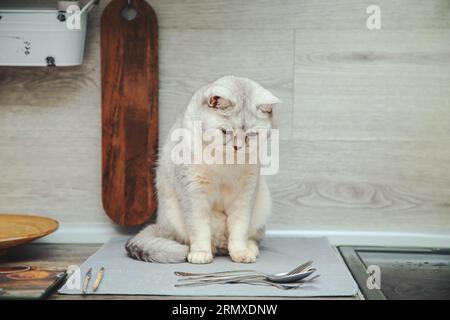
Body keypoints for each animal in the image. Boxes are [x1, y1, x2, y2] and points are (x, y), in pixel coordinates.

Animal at [126, 75, 280, 264]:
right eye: (225, 132)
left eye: (251, 135)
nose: (237, 147)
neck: (224, 162)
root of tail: (160, 225)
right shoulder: (194, 193)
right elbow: (199, 229)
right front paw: (201, 253)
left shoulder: (244, 196)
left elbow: (239, 230)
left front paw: (240, 252)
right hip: (173, 217)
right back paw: (208, 250)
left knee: (249, 238)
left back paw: (249, 249)